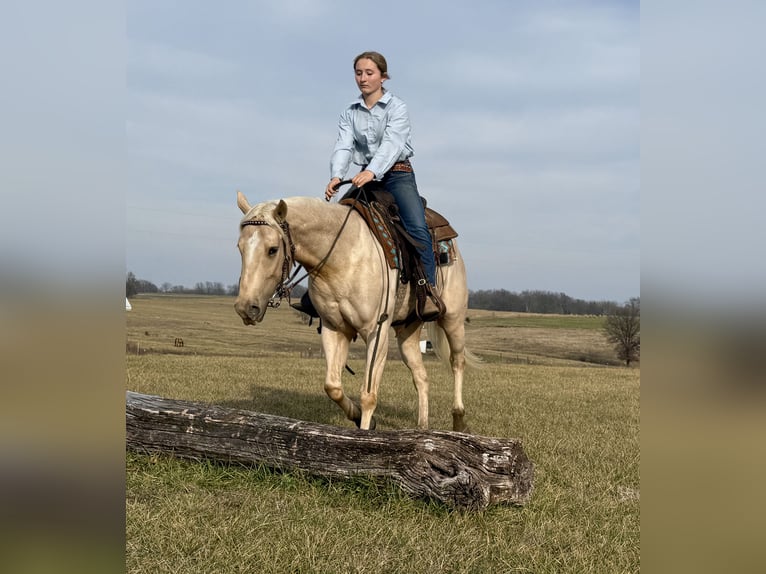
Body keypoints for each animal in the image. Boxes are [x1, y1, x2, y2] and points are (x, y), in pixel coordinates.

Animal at [236, 192, 474, 432]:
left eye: (272, 249)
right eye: (240, 248)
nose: (245, 308)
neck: (343, 256)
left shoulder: (376, 332)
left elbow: (368, 395)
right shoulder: (335, 329)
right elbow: (333, 386)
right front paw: (358, 416)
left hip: (452, 320)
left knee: (457, 362)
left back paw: (459, 419)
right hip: (407, 330)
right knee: (421, 377)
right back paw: (422, 428)